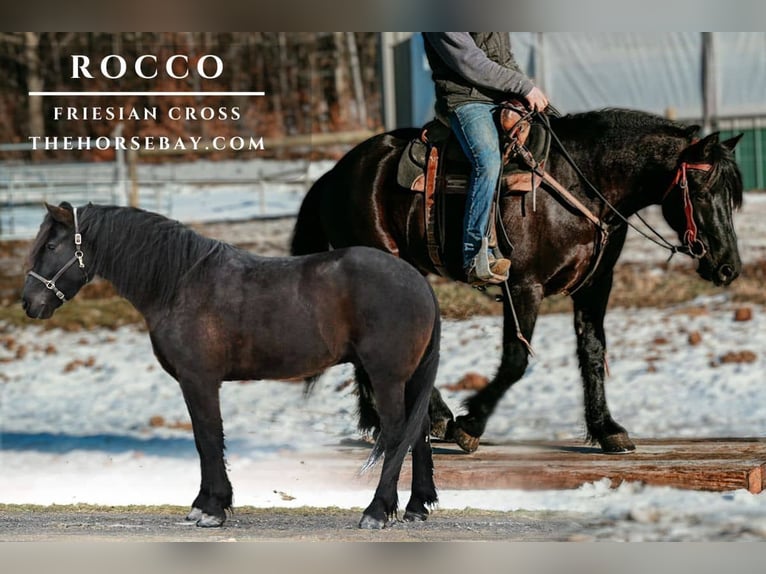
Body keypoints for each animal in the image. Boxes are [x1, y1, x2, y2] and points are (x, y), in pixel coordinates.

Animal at [21, 202, 441, 529]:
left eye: (52, 245)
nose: (29, 303)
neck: (180, 283)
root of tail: (418, 281)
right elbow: (203, 439)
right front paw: (204, 505)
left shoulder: (199, 380)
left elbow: (208, 438)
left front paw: (211, 509)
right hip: (406, 378)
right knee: (417, 431)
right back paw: (416, 508)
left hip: (386, 377)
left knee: (396, 433)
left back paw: (376, 511)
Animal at [290, 108, 744, 454]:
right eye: (700, 190)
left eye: (731, 195)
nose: (728, 267)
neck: (583, 185)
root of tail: (335, 172)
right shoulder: (524, 287)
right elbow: (515, 360)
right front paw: (470, 425)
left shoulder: (595, 285)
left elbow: (593, 353)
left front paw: (607, 429)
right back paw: (429, 419)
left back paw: (400, 419)